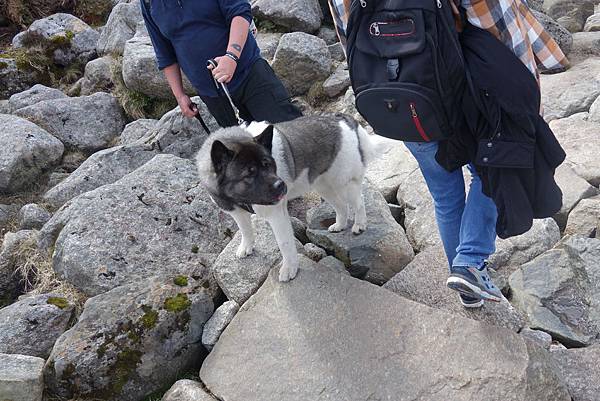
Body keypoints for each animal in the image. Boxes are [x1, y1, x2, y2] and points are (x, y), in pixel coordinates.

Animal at [195, 113, 378, 282]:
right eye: (250, 173)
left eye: (268, 164)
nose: (281, 185)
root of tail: (341, 118)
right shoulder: (236, 211)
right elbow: (245, 229)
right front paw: (247, 246)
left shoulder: (277, 215)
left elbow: (284, 243)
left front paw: (289, 268)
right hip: (323, 186)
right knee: (341, 206)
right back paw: (339, 225)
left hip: (343, 183)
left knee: (359, 202)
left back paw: (359, 225)